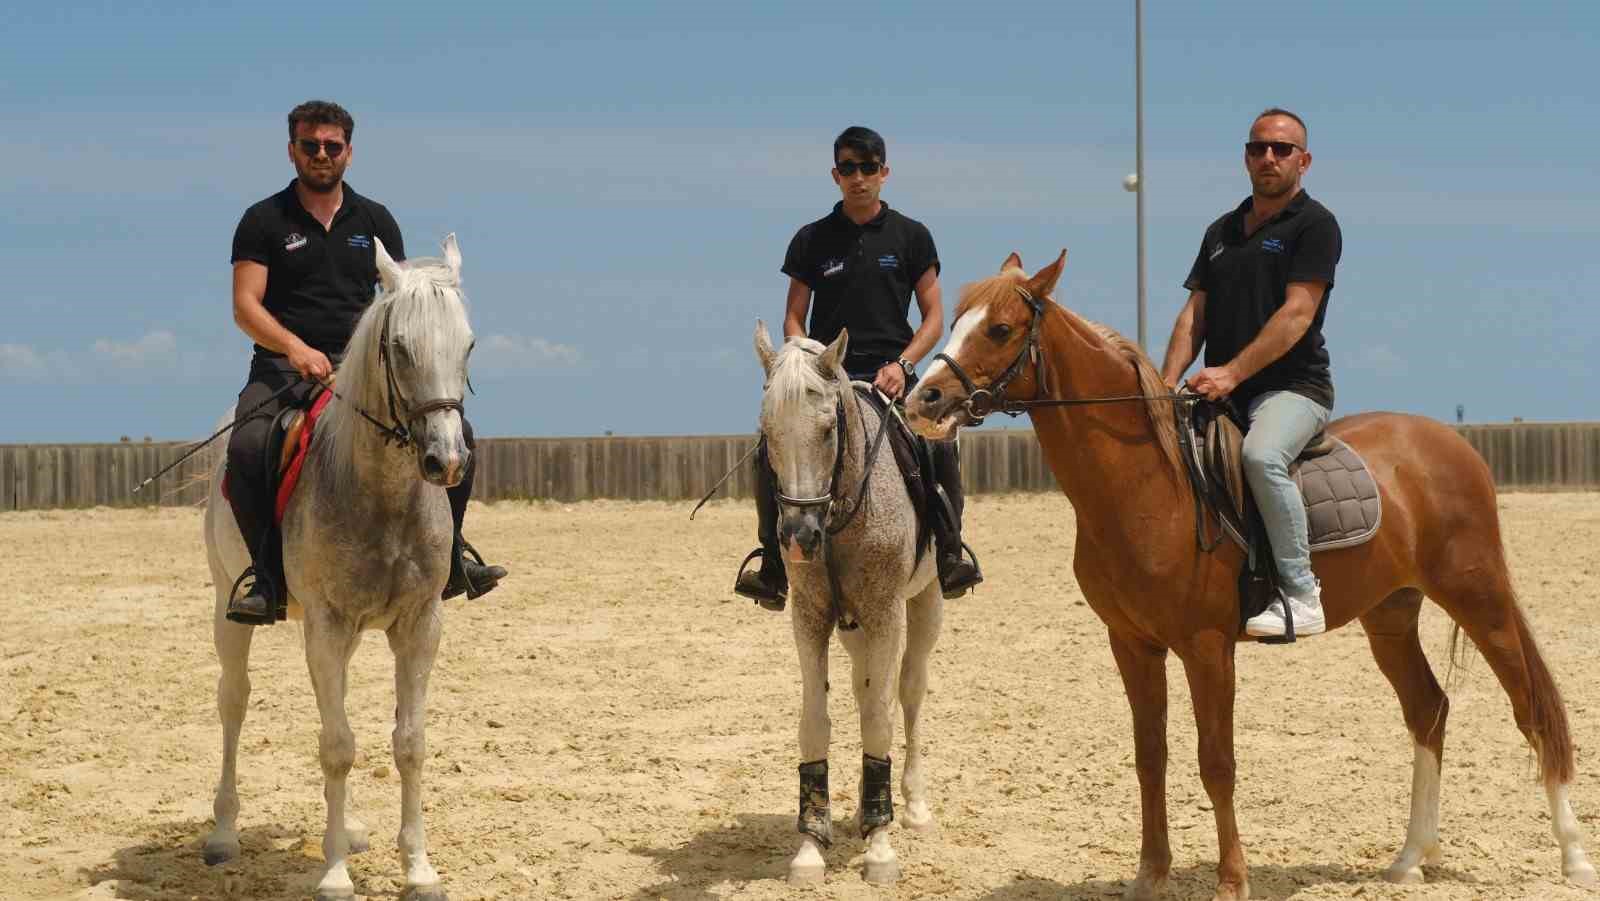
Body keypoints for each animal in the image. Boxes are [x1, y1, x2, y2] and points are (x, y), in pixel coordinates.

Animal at [203, 235, 470, 901]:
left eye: (469, 345)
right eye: (400, 347)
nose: (447, 462)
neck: (380, 491)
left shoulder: (419, 626)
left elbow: (408, 743)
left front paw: (418, 869)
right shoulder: (324, 624)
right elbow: (338, 747)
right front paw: (333, 874)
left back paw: (346, 830)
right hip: (228, 609)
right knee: (234, 702)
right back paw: (223, 833)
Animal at [752, 326, 940, 889]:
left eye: (828, 429)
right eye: (767, 432)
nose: (798, 538)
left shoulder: (886, 615)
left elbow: (881, 718)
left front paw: (880, 847)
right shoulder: (810, 618)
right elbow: (816, 721)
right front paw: (811, 844)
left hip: (925, 604)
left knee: (908, 692)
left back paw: (912, 807)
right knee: (864, 690)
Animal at [908, 252, 1593, 901]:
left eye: (999, 329)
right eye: (959, 319)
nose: (924, 400)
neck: (1148, 486)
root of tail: (1450, 445)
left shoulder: (1207, 648)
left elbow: (1217, 762)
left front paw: (1232, 880)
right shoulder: (1132, 645)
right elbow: (1150, 757)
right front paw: (1150, 876)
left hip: (1479, 599)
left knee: (1530, 709)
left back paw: (1573, 857)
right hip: (1391, 616)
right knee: (1428, 710)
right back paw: (1408, 861)